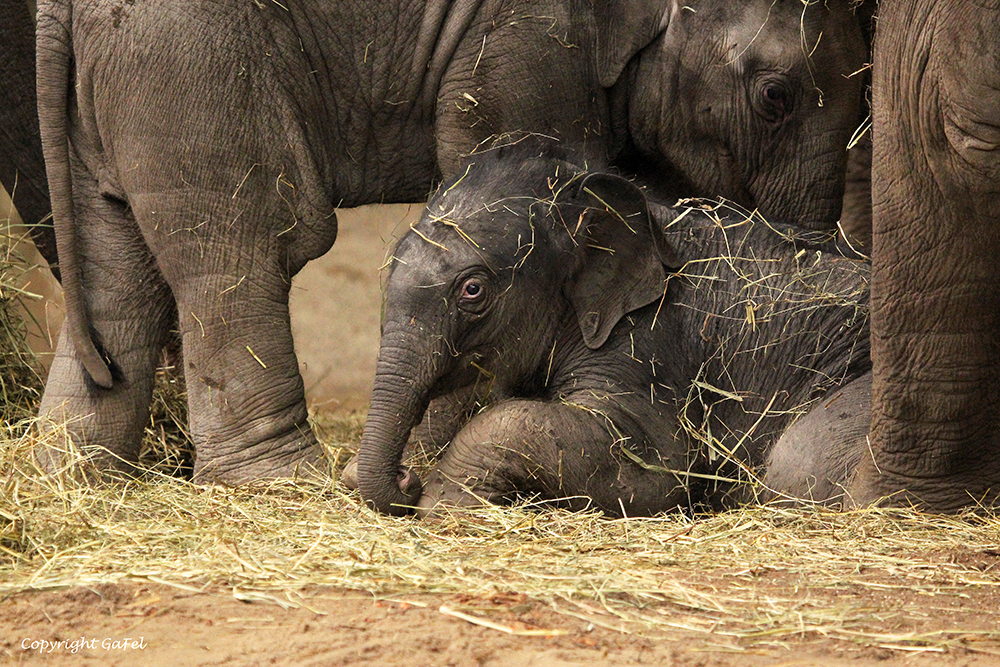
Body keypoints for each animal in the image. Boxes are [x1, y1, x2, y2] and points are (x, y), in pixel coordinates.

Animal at [35, 0, 868, 482]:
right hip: (189, 64)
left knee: (117, 265)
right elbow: (518, 145)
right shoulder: (531, 40)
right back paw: (283, 488)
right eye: (775, 96)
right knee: (245, 249)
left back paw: (76, 481)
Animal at [356, 149, 872, 520]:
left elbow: (649, 470)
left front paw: (444, 500)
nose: (404, 477)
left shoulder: (649, 341)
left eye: (472, 289)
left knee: (803, 460)